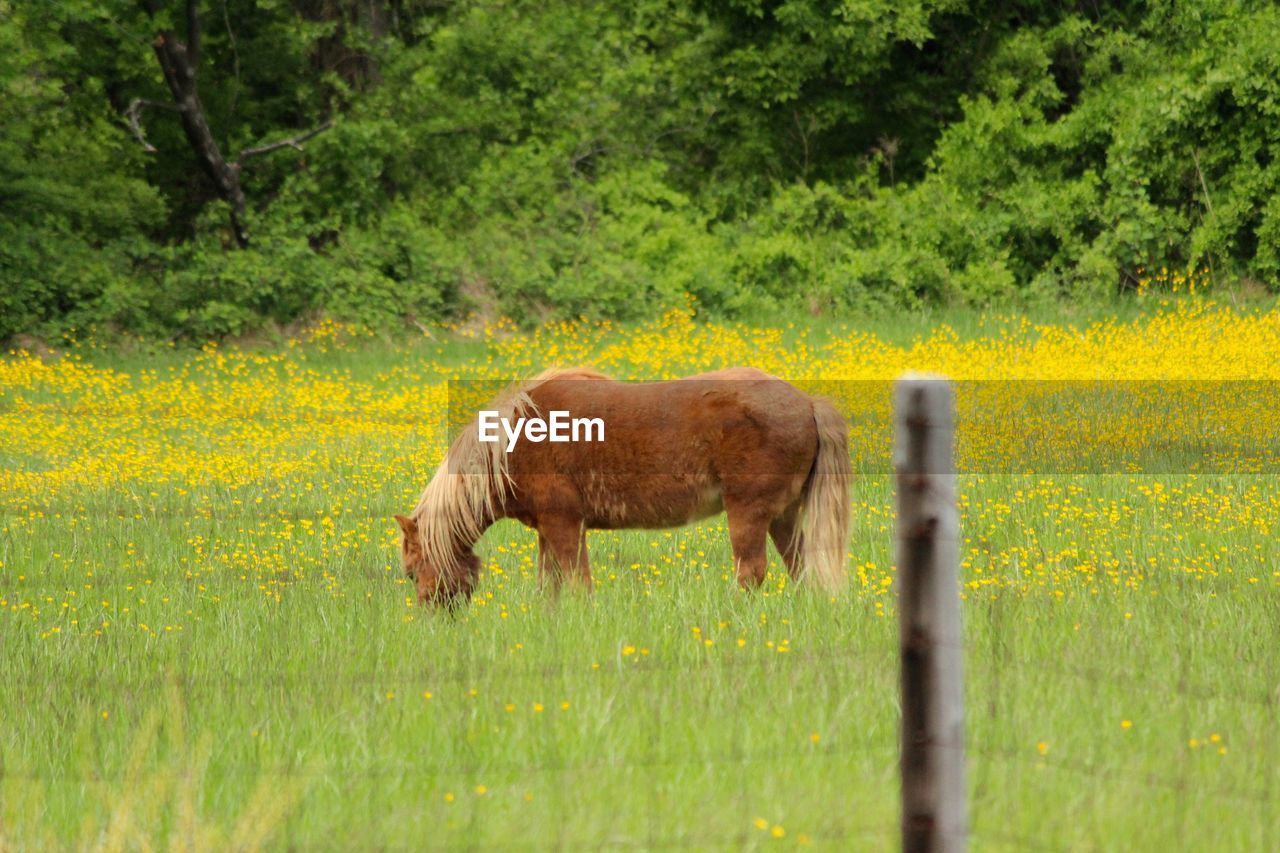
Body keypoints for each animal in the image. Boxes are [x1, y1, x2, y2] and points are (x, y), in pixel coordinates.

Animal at [389, 366, 849, 604]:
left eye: (411, 572)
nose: (434, 618)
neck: (512, 442)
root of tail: (807, 403)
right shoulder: (555, 529)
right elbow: (552, 585)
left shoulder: (562, 525)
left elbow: (576, 583)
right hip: (783, 517)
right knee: (800, 566)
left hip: (748, 515)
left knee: (751, 572)